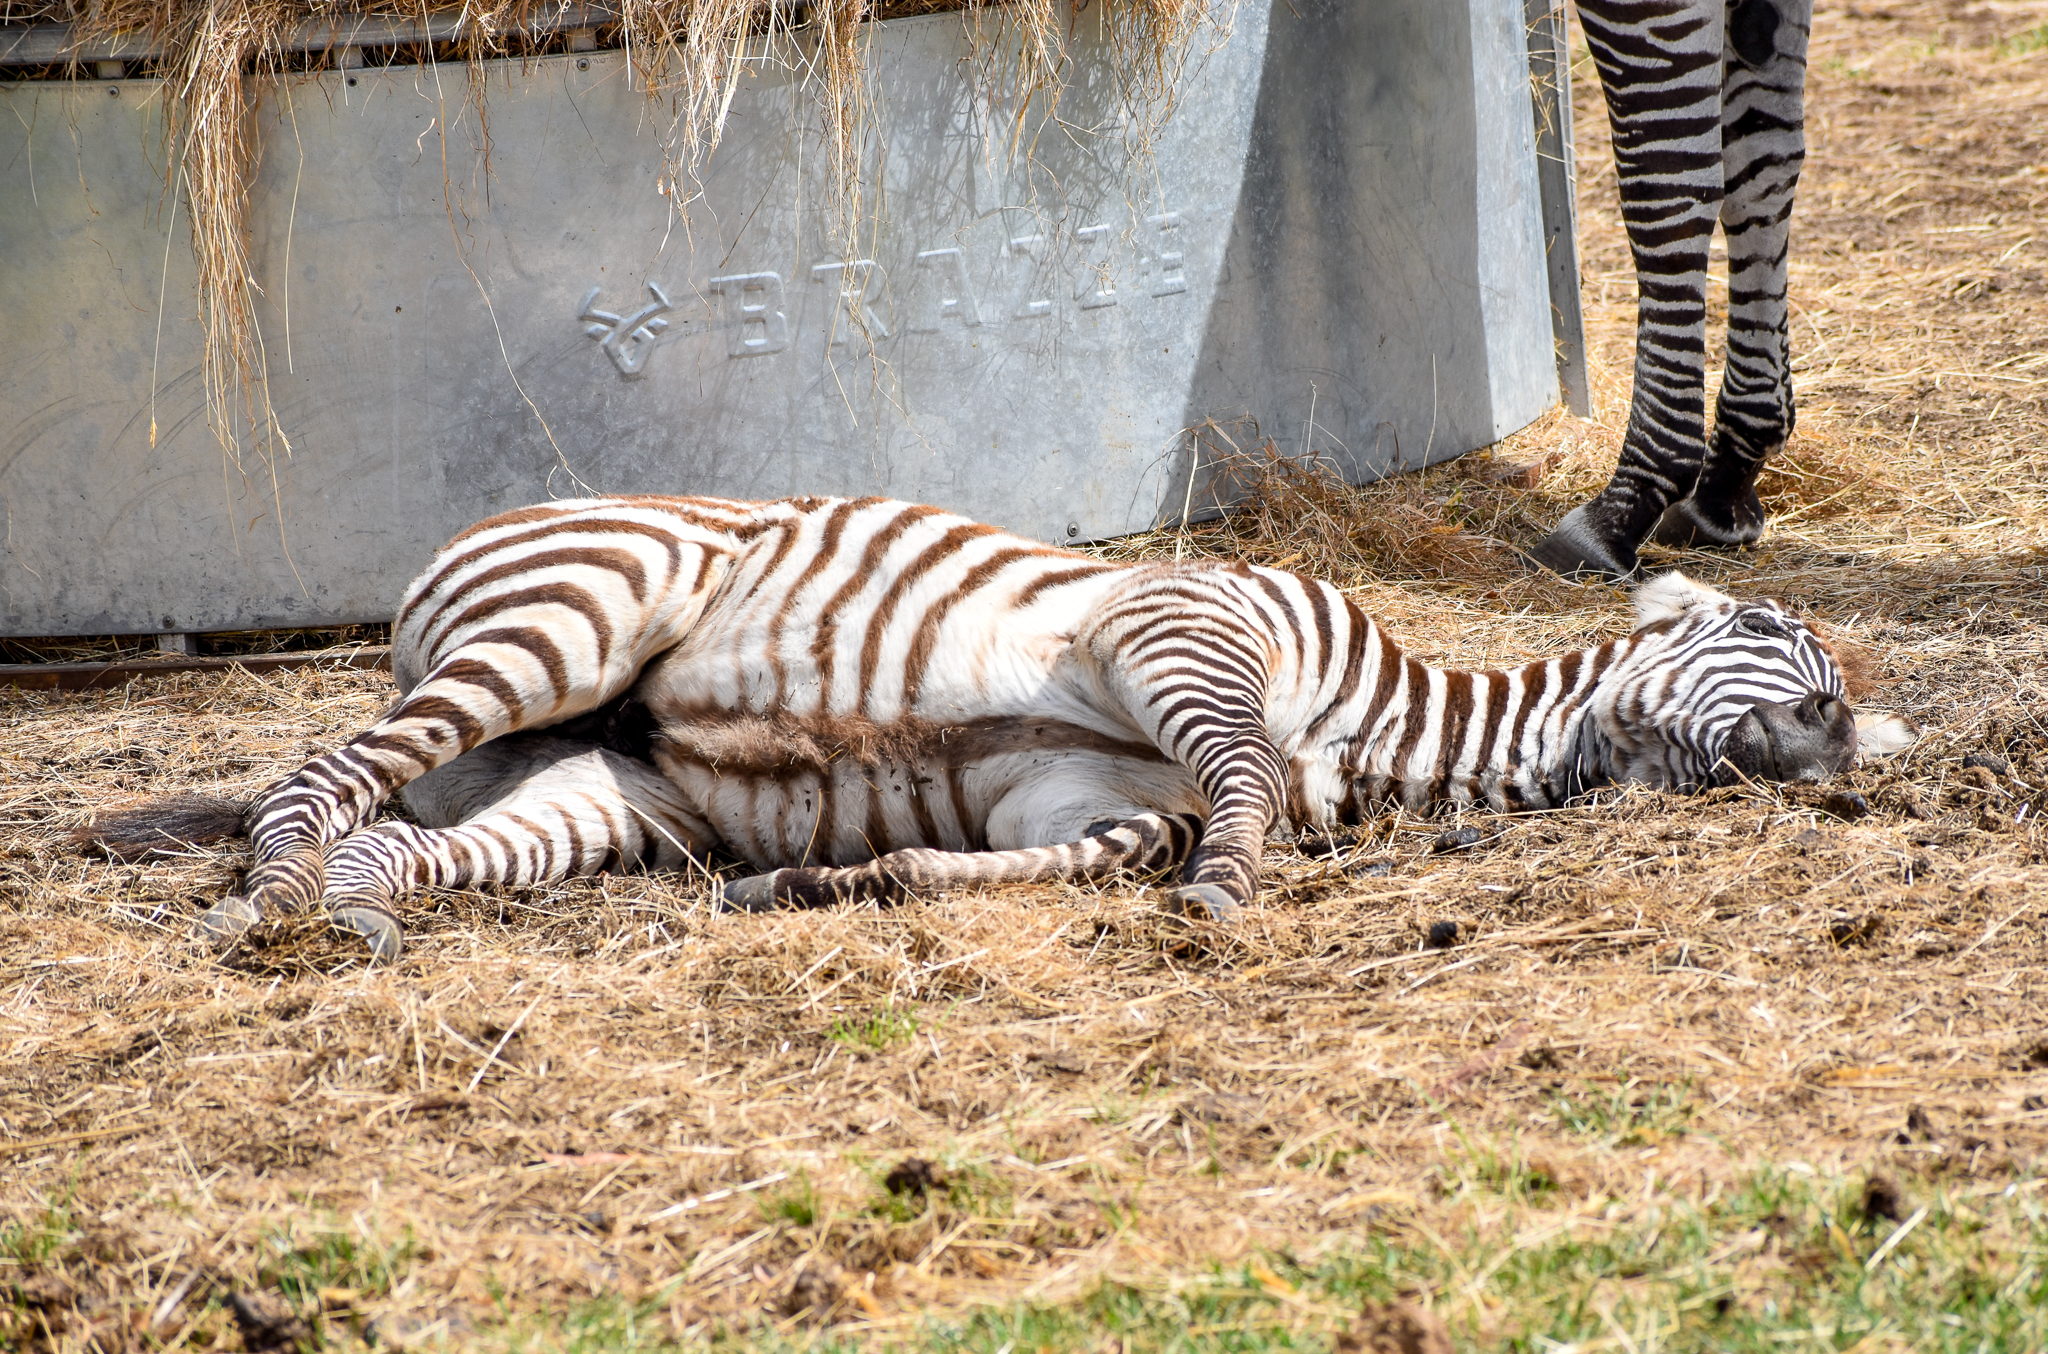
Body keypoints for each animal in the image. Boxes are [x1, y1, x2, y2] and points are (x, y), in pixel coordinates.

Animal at [82, 494, 1915, 962]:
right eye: (1774, 637)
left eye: (1828, 694)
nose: (1832, 733)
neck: (1373, 726)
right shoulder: (1178, 629)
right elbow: (1240, 784)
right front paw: (1228, 895)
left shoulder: (1067, 791)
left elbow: (1093, 852)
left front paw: (827, 884)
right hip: (578, 613)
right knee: (319, 778)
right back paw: (273, 904)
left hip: (590, 787)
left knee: (404, 835)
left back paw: (352, 908)